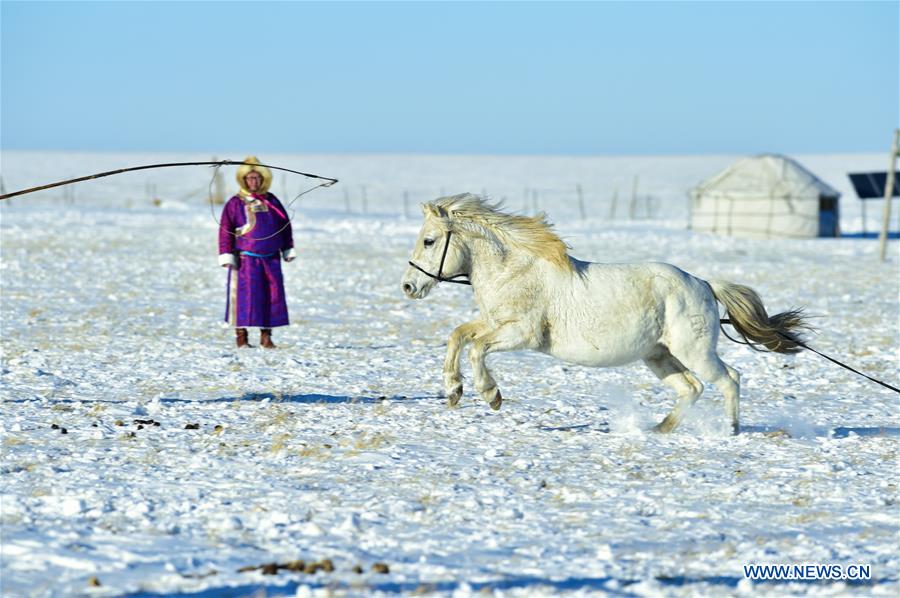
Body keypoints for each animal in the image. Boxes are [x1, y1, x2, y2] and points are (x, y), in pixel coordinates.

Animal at [402, 197, 808, 436]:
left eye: (428, 241)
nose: (408, 286)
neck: (515, 271)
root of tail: (704, 285)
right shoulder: (492, 324)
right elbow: (459, 335)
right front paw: (453, 391)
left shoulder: (521, 334)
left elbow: (477, 349)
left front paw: (491, 394)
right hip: (659, 356)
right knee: (691, 388)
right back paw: (660, 429)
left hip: (694, 352)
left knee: (729, 379)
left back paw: (730, 430)